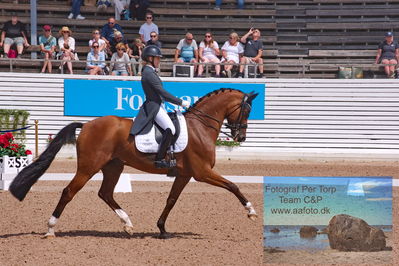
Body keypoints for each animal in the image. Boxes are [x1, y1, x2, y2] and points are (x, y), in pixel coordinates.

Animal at [10, 88, 260, 239]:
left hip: (113, 166)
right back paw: (51, 229)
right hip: (89, 167)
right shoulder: (202, 172)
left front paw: (162, 229)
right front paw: (251, 212)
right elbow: (233, 185)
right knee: (69, 191)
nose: (241, 137)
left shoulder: (185, 174)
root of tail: (87, 125)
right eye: (247, 110)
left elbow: (171, 200)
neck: (200, 128)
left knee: (105, 193)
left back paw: (128, 224)